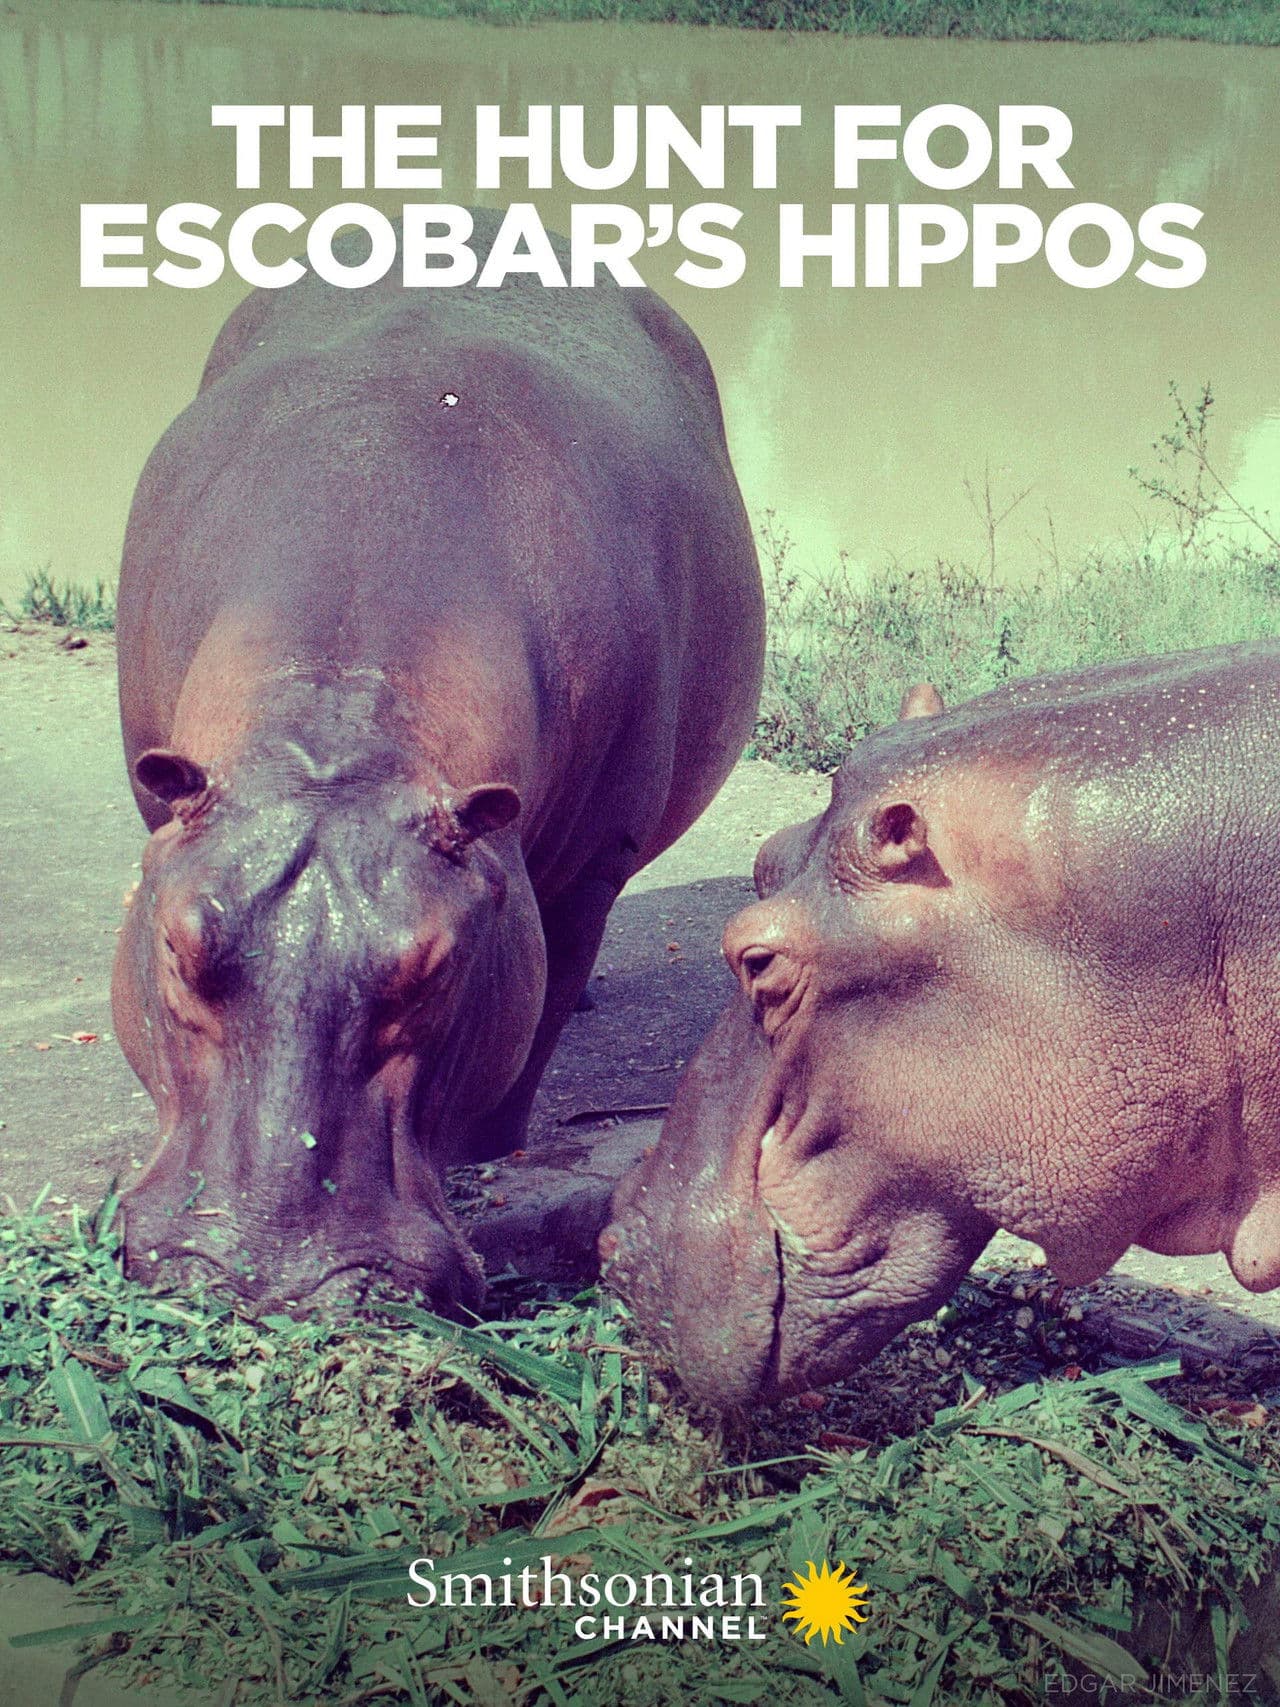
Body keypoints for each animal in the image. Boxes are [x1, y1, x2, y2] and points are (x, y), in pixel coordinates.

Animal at [111, 211, 763, 1311]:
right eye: (178, 941)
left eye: (436, 967)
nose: (267, 1273)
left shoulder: (588, 864)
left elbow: (542, 999)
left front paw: (491, 1150)